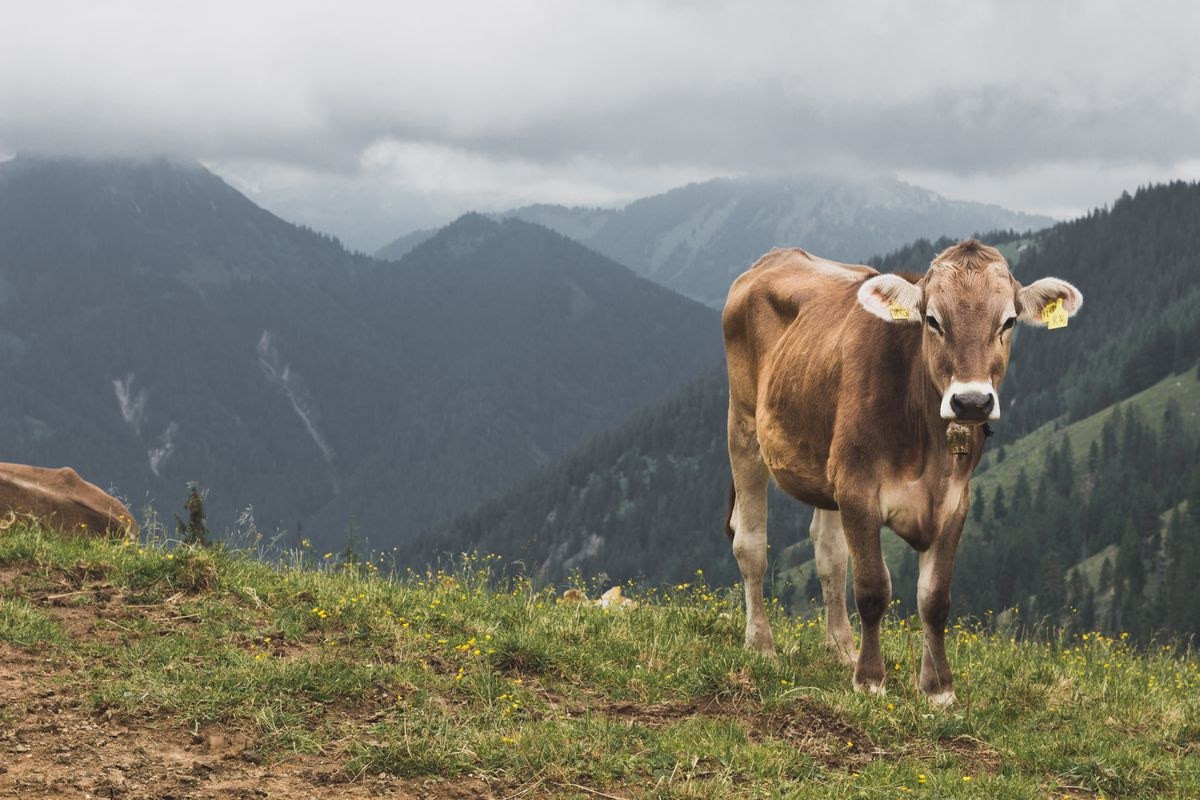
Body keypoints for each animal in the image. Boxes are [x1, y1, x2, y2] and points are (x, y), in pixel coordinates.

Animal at [722, 239, 1081, 705]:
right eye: (933, 320)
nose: (971, 401)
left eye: (1009, 321)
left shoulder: (955, 502)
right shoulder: (857, 489)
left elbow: (935, 598)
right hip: (744, 427)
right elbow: (873, 587)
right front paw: (870, 680)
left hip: (826, 465)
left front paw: (937, 688)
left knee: (829, 555)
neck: (927, 446)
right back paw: (762, 644)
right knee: (750, 544)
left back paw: (842, 649)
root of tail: (778, 255)